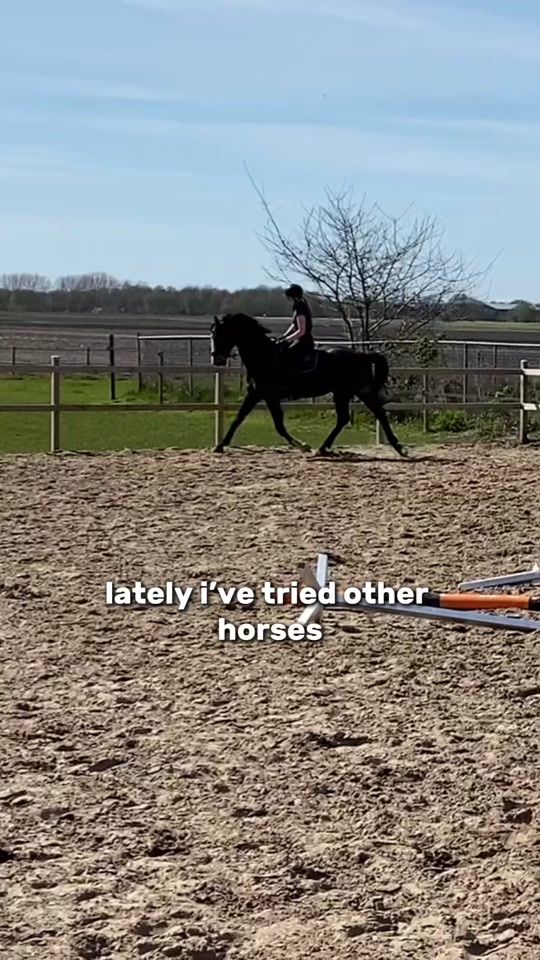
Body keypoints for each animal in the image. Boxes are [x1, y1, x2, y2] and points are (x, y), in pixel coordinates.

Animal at [210, 313, 407, 457]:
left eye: (219, 334)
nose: (217, 359)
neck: (264, 356)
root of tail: (361, 356)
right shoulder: (263, 395)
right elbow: (255, 420)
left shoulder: (262, 394)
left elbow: (264, 423)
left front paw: (302, 445)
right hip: (351, 392)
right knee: (364, 415)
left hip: (347, 392)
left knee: (364, 415)